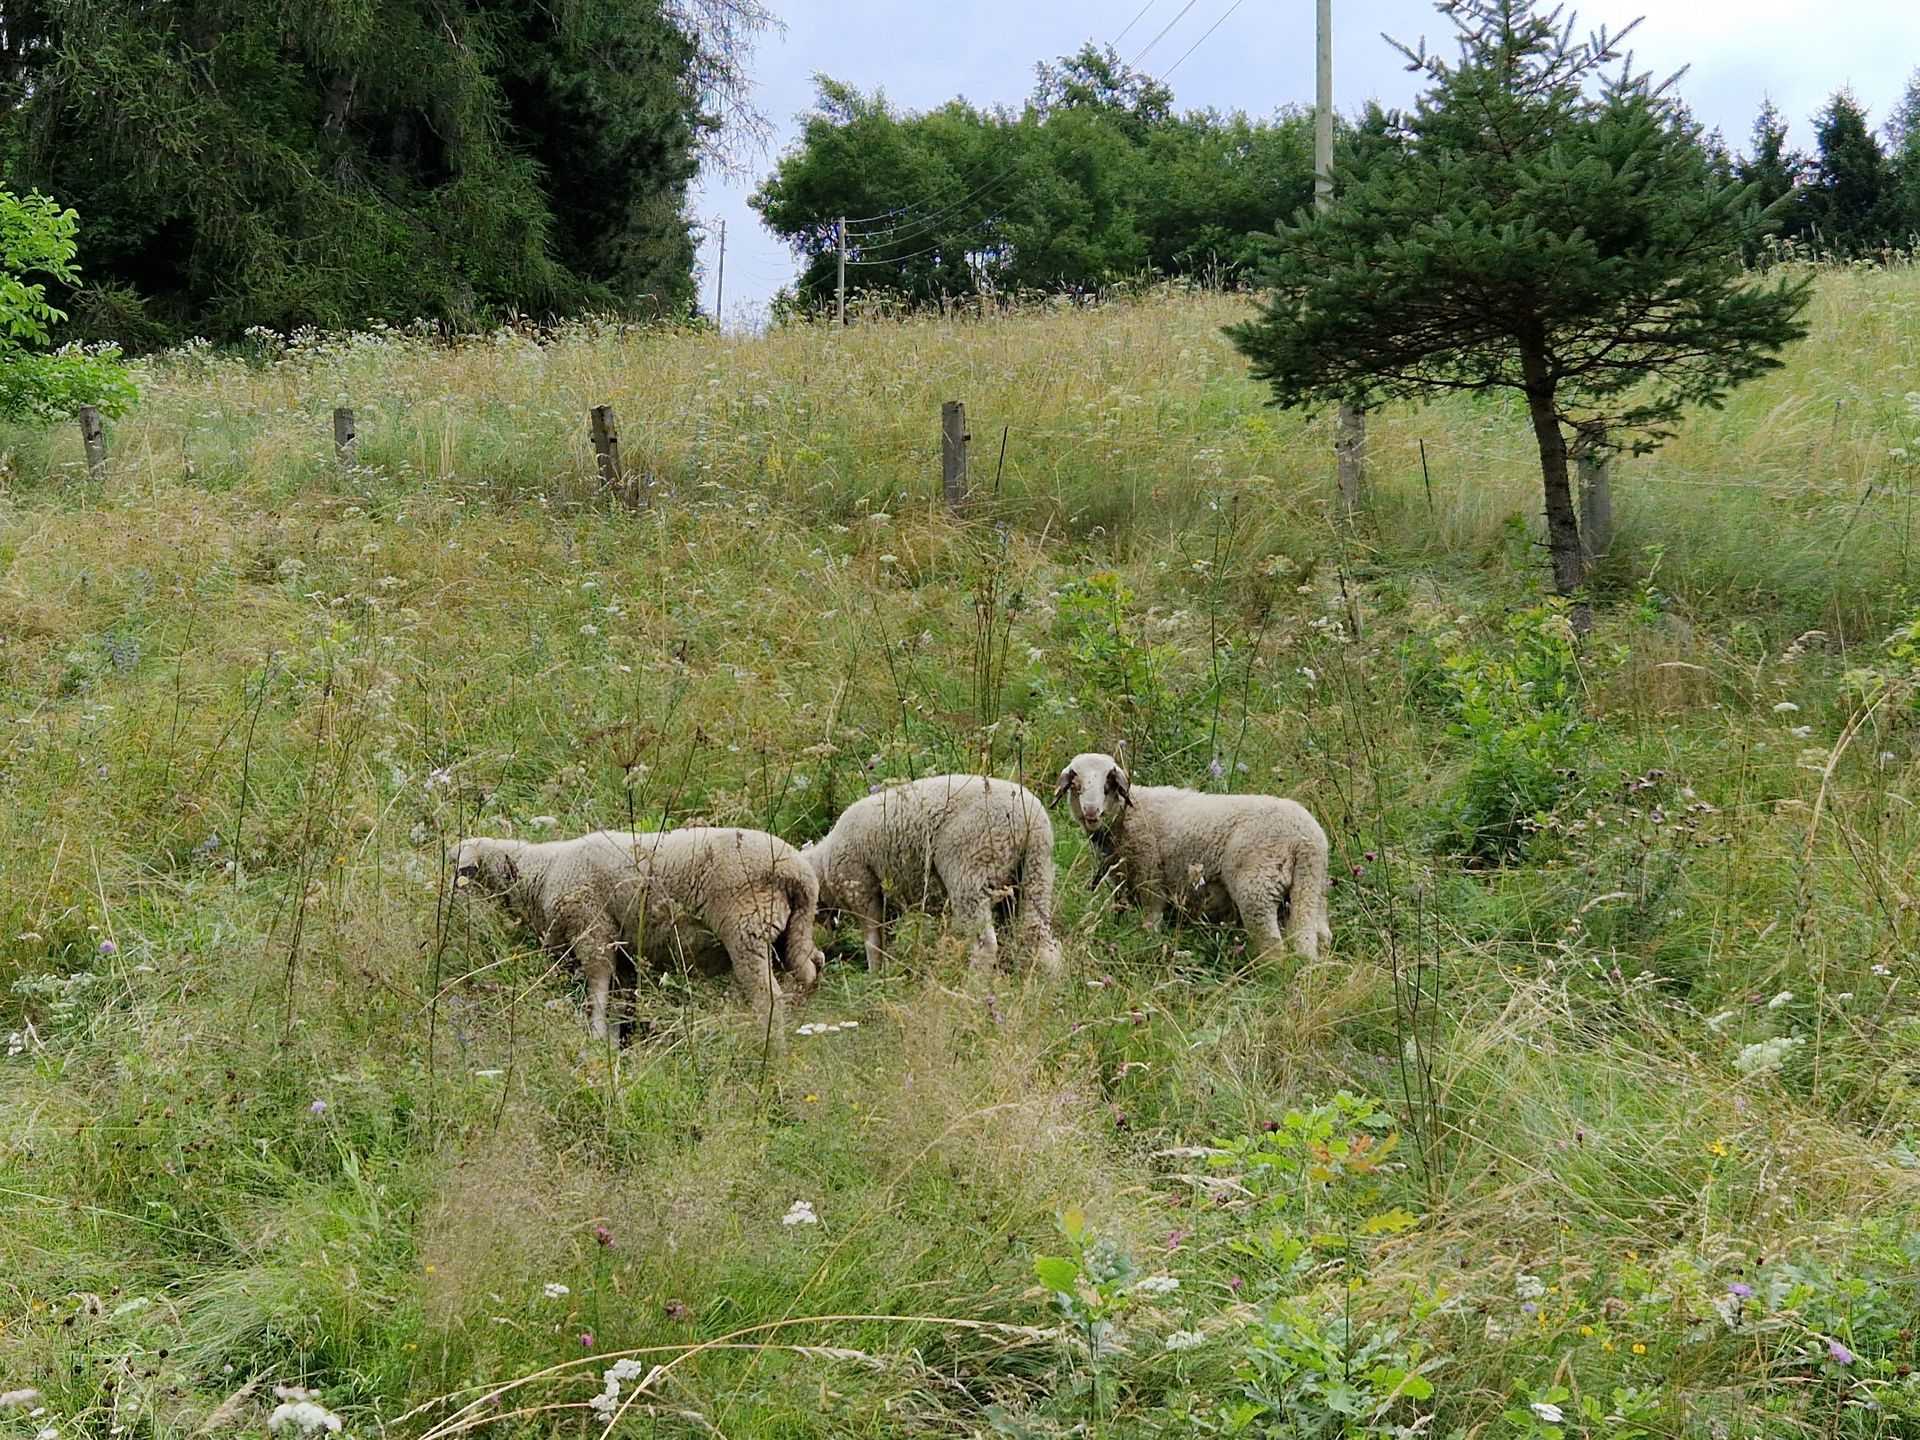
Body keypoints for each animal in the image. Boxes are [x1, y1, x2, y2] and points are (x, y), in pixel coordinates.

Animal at [449, 827, 824, 1045]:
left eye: (462, 869)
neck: (542, 872)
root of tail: (800, 873)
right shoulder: (625, 954)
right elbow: (620, 1005)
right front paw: (616, 1045)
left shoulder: (594, 932)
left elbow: (597, 993)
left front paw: (596, 1039)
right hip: (787, 936)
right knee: (811, 967)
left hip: (746, 928)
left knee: (769, 1001)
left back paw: (768, 1055)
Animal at [803, 774, 1064, 978]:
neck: (823, 866)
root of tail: (1028, 818)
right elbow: (886, 938)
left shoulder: (863, 890)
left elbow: (873, 941)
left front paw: (875, 974)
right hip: (1035, 870)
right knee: (1038, 933)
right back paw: (1052, 981)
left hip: (970, 868)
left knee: (985, 943)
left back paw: (973, 985)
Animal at [1051, 752, 1332, 962]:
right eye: (1076, 784)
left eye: (1108, 785)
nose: (1091, 811)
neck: (1128, 815)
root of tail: (1306, 840)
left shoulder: (1151, 879)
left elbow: (1151, 920)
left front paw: (1149, 943)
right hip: (1310, 889)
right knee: (1319, 934)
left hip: (1257, 886)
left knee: (1273, 945)